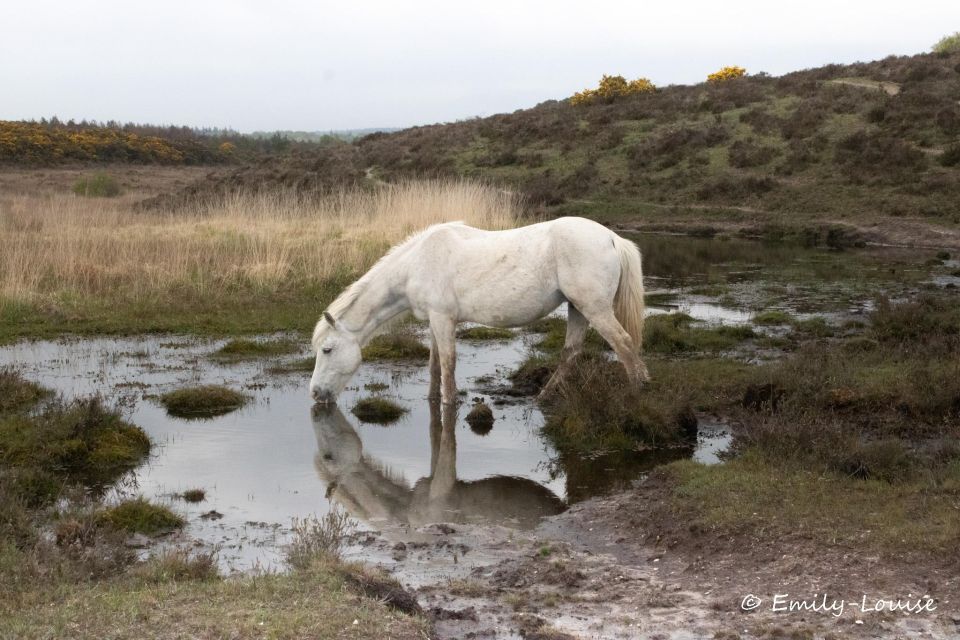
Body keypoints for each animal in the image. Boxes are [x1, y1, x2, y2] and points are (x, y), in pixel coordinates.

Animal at [312, 218, 648, 402]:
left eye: (327, 350)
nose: (315, 394)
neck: (416, 263)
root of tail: (612, 238)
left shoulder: (443, 319)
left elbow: (447, 365)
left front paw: (449, 404)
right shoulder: (434, 321)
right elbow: (434, 366)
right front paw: (431, 399)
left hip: (595, 309)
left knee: (624, 345)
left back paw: (636, 395)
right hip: (578, 308)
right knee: (571, 352)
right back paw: (544, 396)